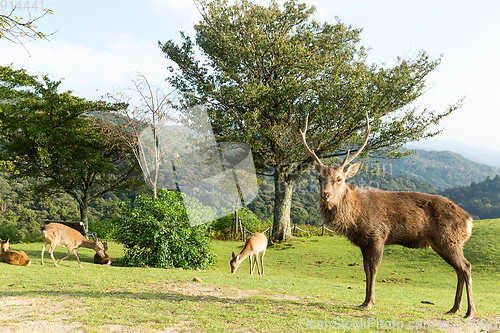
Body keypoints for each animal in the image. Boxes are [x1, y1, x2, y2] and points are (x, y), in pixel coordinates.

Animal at [300, 111, 476, 316]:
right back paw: (454, 309)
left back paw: (469, 312)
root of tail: (469, 220)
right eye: (319, 178)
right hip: (442, 243)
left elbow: (374, 269)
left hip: (449, 239)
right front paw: (363, 301)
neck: (355, 218)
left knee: (466, 267)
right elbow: (366, 270)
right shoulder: (363, 242)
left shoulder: (378, 235)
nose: (325, 195)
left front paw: (370, 303)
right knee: (459, 270)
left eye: (339, 179)